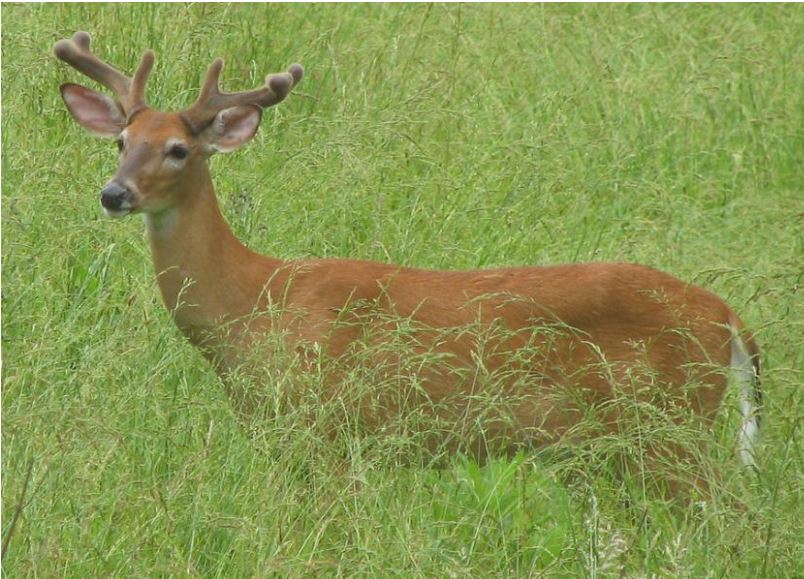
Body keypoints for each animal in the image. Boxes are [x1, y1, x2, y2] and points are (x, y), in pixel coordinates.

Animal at [55, 30, 760, 494]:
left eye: (178, 149)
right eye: (122, 140)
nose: (114, 193)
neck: (253, 303)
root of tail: (727, 316)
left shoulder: (328, 428)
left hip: (670, 429)